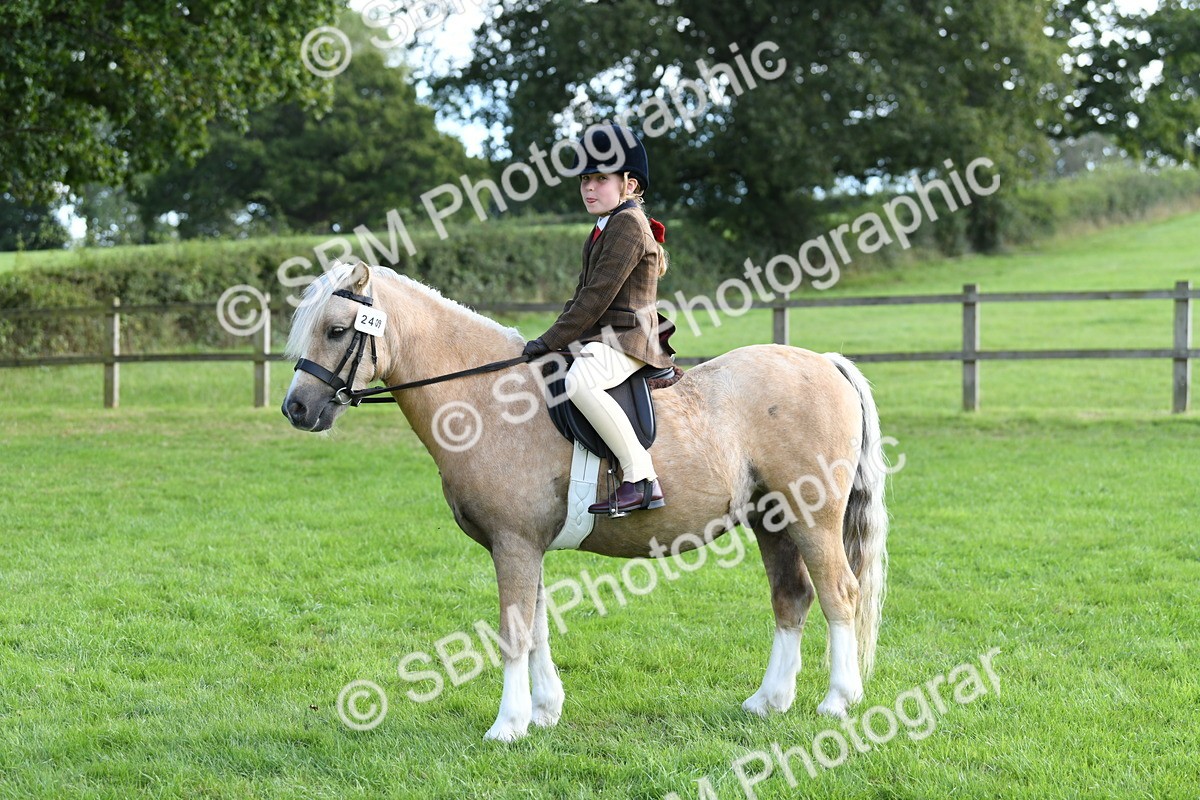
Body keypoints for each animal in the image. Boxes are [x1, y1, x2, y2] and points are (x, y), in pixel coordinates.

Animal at [282, 261, 889, 742]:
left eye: (336, 330)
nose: (296, 409)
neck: (486, 399)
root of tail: (826, 363)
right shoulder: (524, 546)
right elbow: (538, 625)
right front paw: (544, 711)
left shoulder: (514, 544)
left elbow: (513, 632)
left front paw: (508, 725)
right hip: (771, 520)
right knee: (792, 597)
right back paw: (768, 701)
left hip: (811, 517)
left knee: (839, 593)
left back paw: (837, 701)